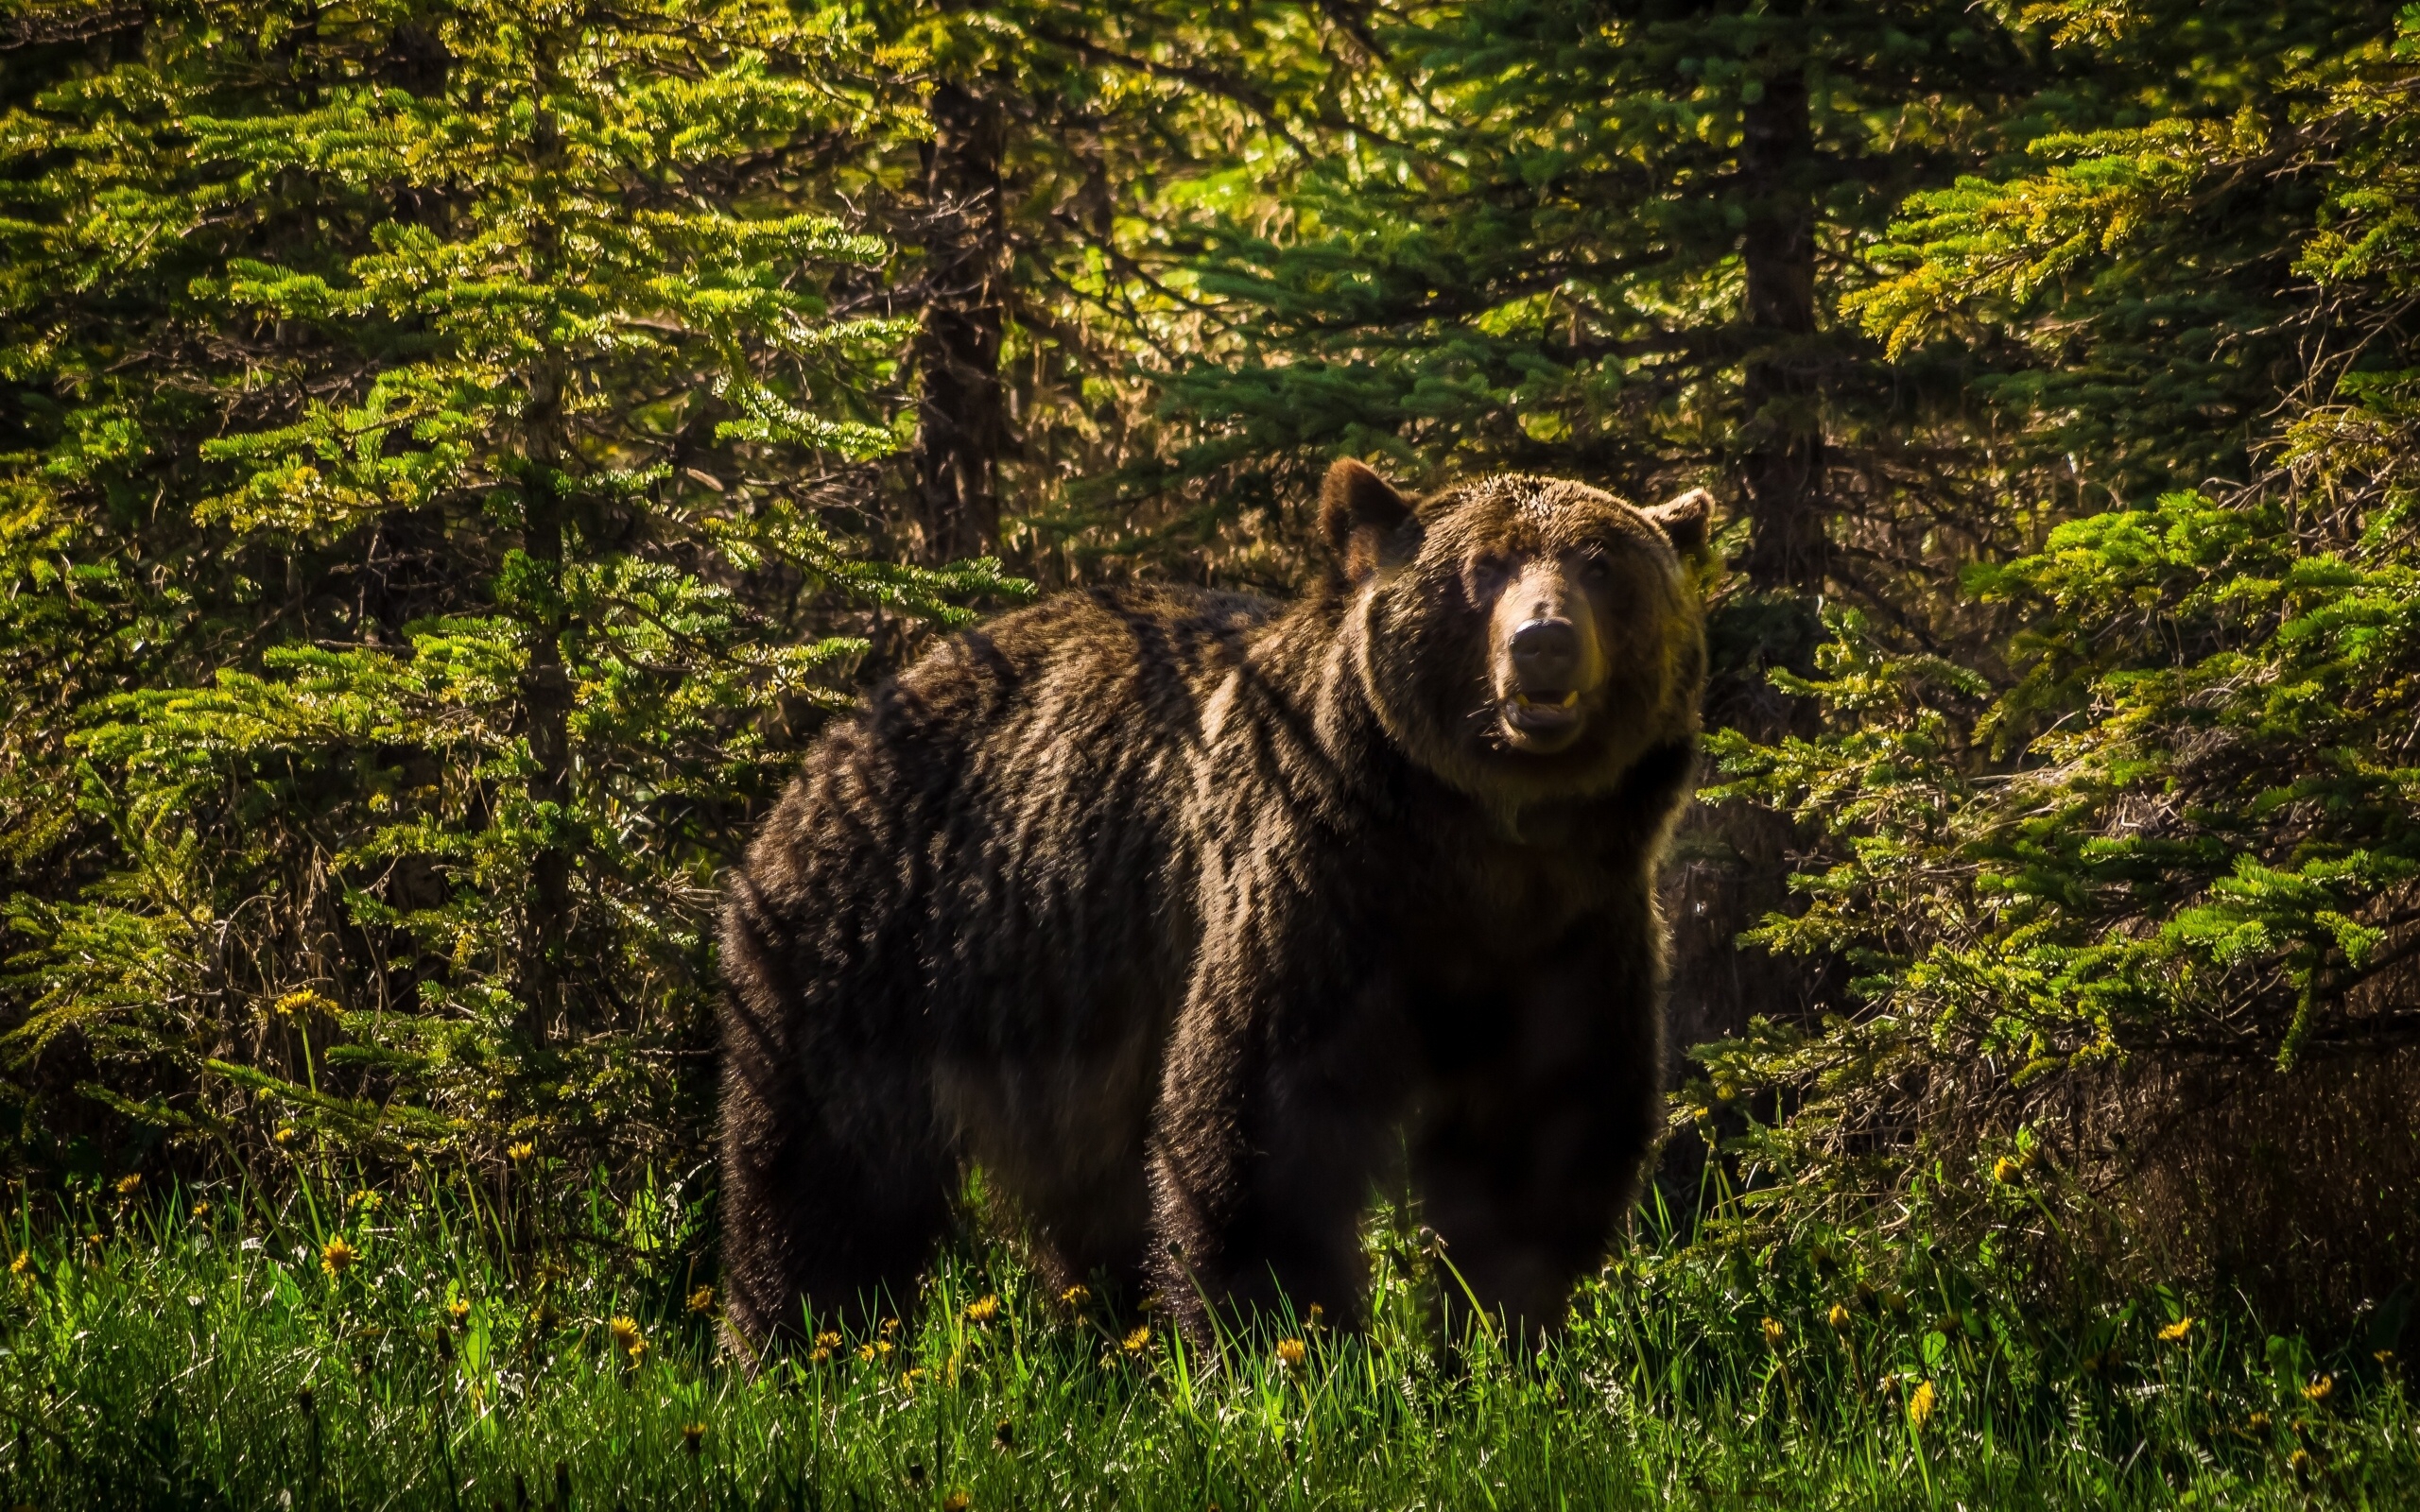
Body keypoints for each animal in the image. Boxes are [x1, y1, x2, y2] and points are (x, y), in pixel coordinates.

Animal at [720, 459, 1722, 1345]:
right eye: (1483, 566)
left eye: (1601, 565)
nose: (1542, 642)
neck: (1475, 848)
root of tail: (841, 731)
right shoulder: (1316, 891)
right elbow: (1260, 1118)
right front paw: (1291, 1340)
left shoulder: (1572, 931)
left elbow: (1539, 1136)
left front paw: (1499, 1335)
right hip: (870, 941)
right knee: (827, 1174)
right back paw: (796, 1341)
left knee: (1084, 1194)